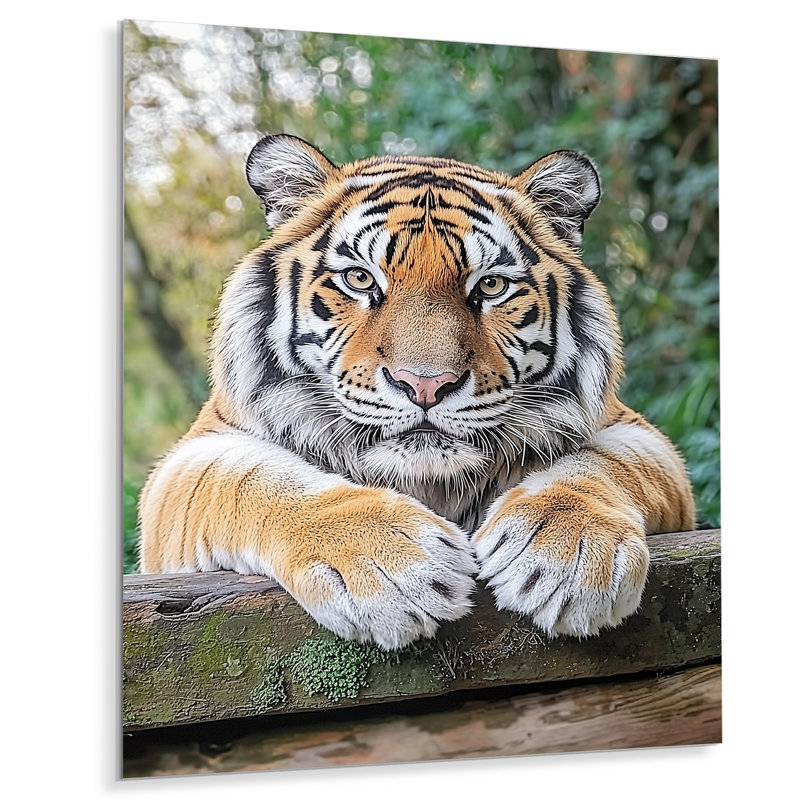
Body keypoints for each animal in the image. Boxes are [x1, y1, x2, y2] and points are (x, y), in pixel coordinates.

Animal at [138, 134, 696, 650]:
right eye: (360, 279)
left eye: (491, 286)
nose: (425, 384)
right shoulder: (191, 459)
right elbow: (254, 481)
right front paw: (385, 565)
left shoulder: (635, 432)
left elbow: (599, 465)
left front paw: (568, 552)